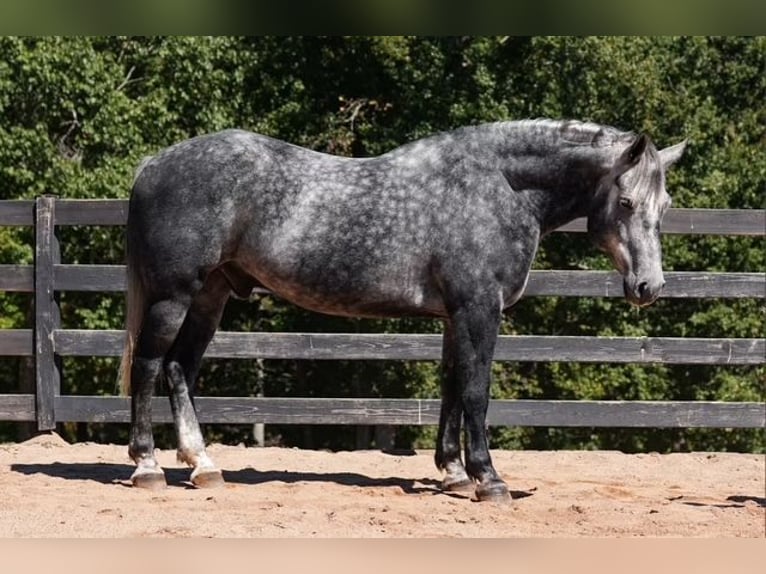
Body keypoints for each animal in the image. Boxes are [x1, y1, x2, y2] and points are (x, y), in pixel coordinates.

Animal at [119, 119, 686, 501]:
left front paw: (454, 474)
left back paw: (203, 465)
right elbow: (476, 390)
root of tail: (153, 165)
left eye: (665, 206)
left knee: (180, 368)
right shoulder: (479, 309)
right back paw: (147, 467)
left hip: (211, 297)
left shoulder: (457, 316)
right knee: (149, 366)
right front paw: (488, 479)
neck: (499, 186)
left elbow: (452, 386)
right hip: (174, 296)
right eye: (627, 203)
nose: (648, 286)